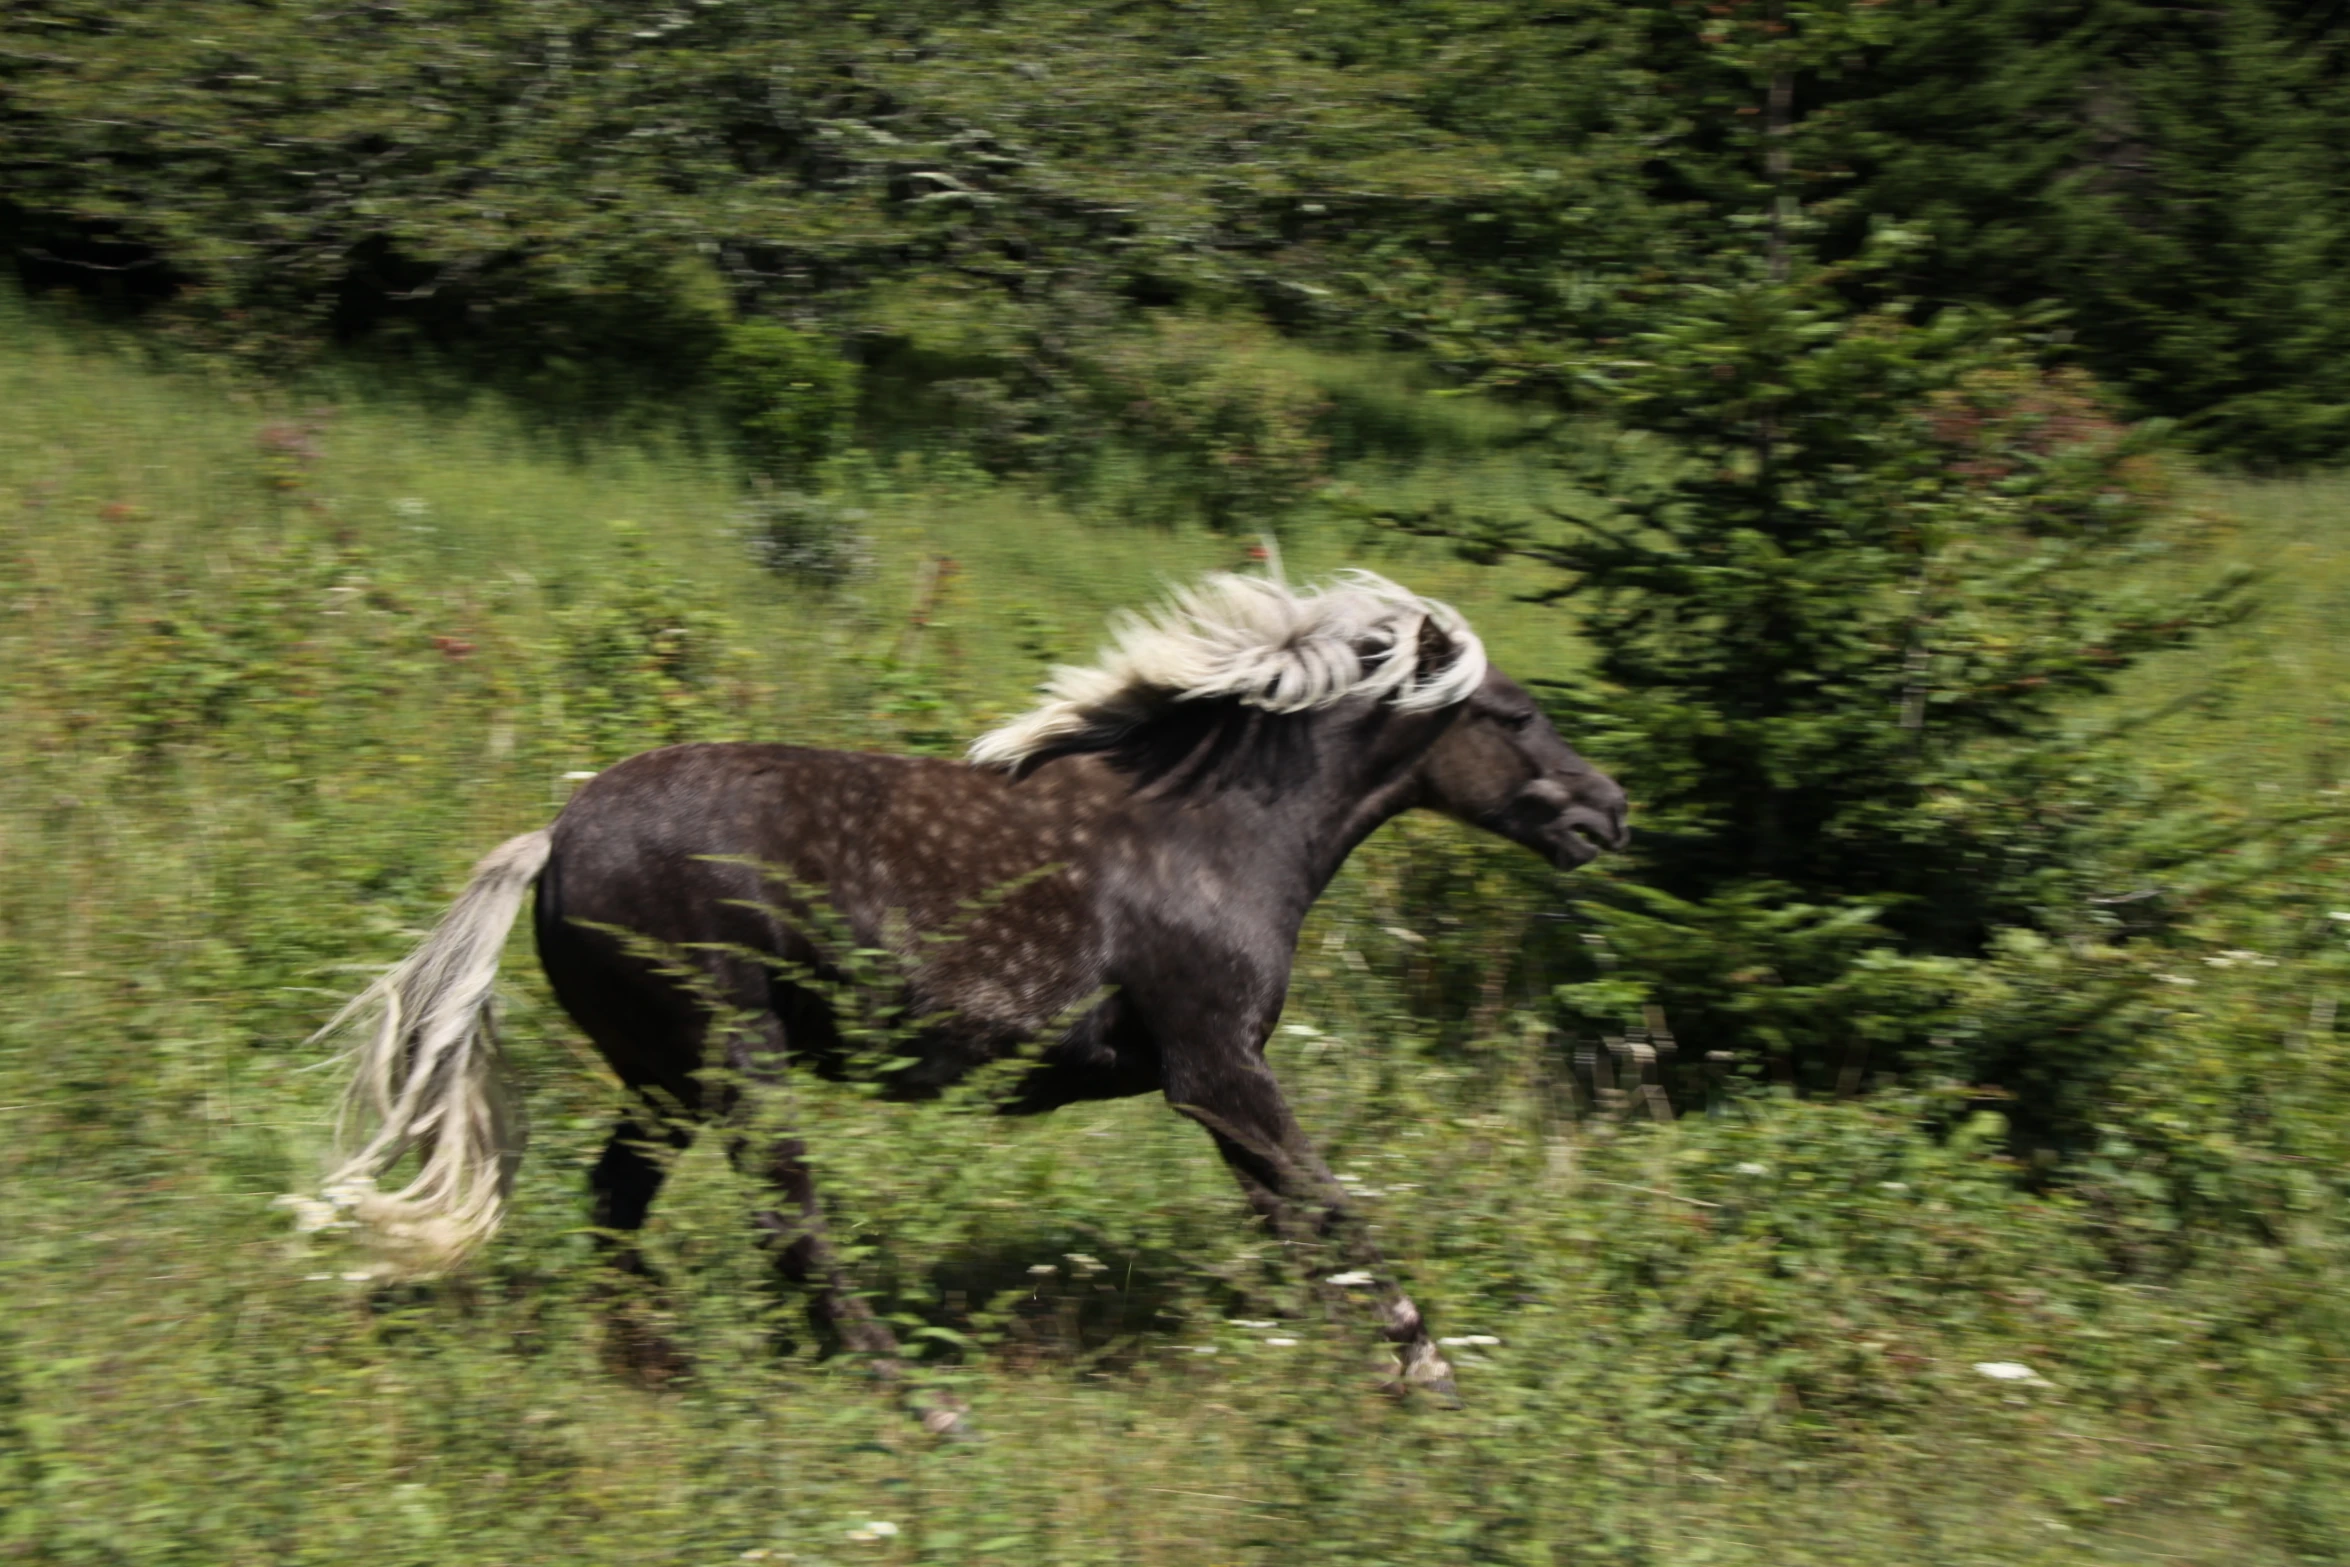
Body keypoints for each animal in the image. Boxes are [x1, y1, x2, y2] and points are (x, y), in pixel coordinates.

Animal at [303, 570, 1626, 1418]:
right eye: (1513, 713)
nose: (1608, 810)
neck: (1213, 832)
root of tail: (553, 839)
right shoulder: (1216, 1070)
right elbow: (1334, 1210)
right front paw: (1430, 1373)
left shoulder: (1218, 1087)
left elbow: (1302, 1226)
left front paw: (1381, 1367)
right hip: (732, 1061)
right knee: (785, 1221)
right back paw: (905, 1393)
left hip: (667, 1078)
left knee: (618, 1204)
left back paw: (661, 1353)